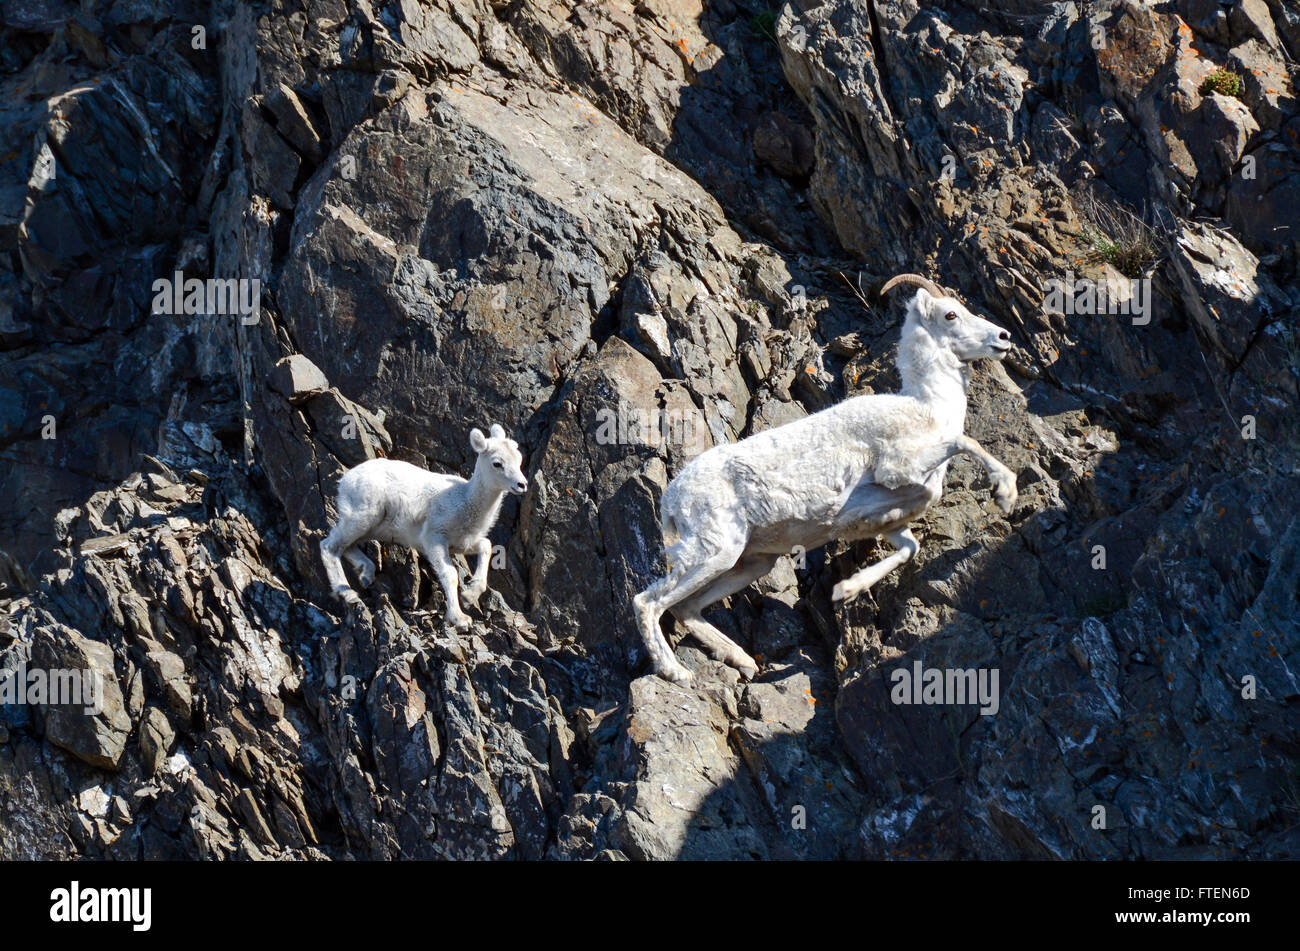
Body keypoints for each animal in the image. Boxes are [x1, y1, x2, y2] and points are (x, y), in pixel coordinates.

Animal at [321, 420, 527, 623]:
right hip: (361, 517)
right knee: (329, 546)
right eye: (497, 463)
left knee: (346, 546)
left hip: (372, 527)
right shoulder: (434, 538)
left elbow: (487, 546)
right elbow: (450, 575)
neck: (465, 500)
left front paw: (469, 596)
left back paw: (366, 573)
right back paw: (347, 593)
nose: (522, 485)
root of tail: (344, 481)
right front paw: (459, 619)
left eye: (519, 459)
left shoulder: (462, 544)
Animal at [634, 275, 1019, 685]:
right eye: (950, 315)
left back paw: (743, 661)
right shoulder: (898, 469)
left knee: (687, 608)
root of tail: (672, 498)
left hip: (750, 562)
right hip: (714, 550)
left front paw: (847, 590)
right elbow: (965, 442)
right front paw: (1006, 493)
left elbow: (909, 549)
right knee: (648, 602)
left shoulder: (889, 518)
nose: (1004, 336)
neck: (926, 408)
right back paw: (675, 672)